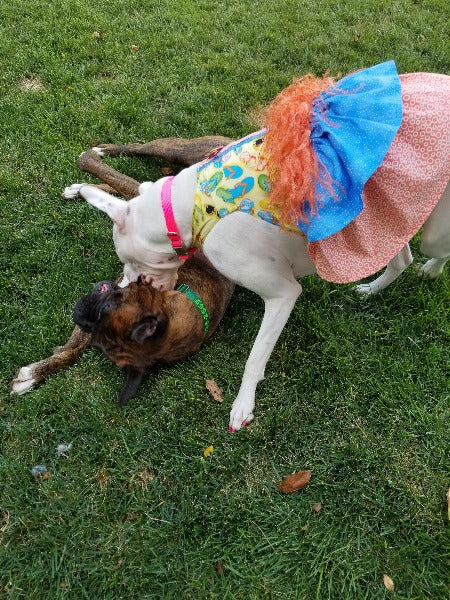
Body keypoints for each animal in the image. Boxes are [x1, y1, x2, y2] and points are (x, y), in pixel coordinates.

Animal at [64, 64, 450, 432]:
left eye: (135, 277)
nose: (113, 286)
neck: (185, 208)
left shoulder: (282, 293)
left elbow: (256, 355)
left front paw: (243, 403)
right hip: (388, 217)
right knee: (401, 255)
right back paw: (371, 290)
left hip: (429, 225)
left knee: (434, 250)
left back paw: (430, 270)